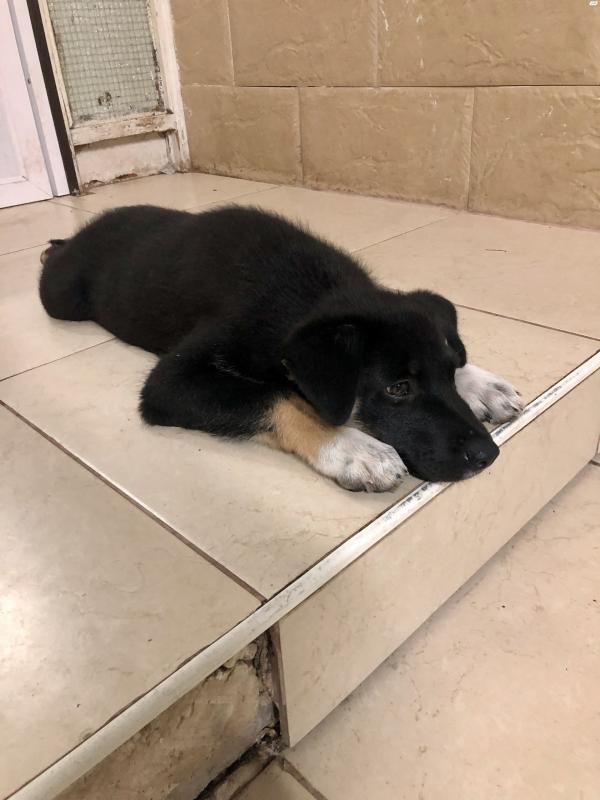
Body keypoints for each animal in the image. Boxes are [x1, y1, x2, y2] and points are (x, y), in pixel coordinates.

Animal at [39, 204, 522, 492]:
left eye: (449, 371)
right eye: (397, 388)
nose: (489, 457)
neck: (316, 294)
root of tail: (89, 227)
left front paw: (481, 385)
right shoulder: (172, 382)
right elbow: (278, 399)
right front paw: (351, 448)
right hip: (62, 298)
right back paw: (49, 249)